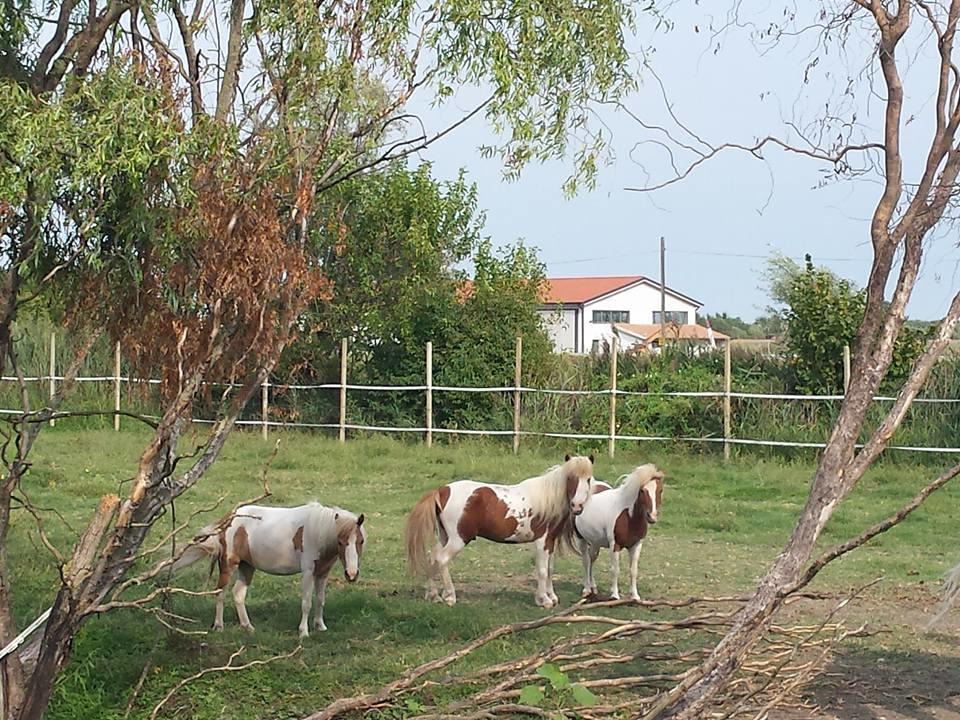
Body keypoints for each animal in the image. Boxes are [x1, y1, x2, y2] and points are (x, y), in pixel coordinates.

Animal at [171, 504, 366, 640]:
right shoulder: (308, 572)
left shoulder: (323, 573)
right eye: (340, 541)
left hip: (247, 566)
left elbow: (320, 600)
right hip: (229, 564)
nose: (351, 574)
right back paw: (219, 626)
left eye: (361, 541)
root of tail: (229, 518)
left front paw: (320, 626)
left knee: (238, 594)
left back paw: (248, 627)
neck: (317, 532)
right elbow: (307, 603)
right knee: (220, 592)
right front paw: (303, 632)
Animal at [404, 456, 592, 608]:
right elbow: (542, 570)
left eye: (588, 479)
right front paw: (544, 600)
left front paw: (551, 597)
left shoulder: (550, 541)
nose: (577, 506)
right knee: (442, 559)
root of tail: (442, 491)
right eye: (571, 478)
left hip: (445, 537)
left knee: (432, 557)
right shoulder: (541, 542)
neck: (547, 499)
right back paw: (450, 596)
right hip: (458, 539)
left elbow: (550, 569)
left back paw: (433, 595)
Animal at [568, 462, 664, 600]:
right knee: (586, 561)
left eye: (660, 490)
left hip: (595, 542)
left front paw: (635, 596)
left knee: (591, 560)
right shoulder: (615, 545)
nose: (652, 516)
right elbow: (615, 570)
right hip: (581, 539)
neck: (629, 516)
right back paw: (587, 589)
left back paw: (593, 588)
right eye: (642, 490)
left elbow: (633, 570)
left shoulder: (637, 545)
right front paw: (614, 595)